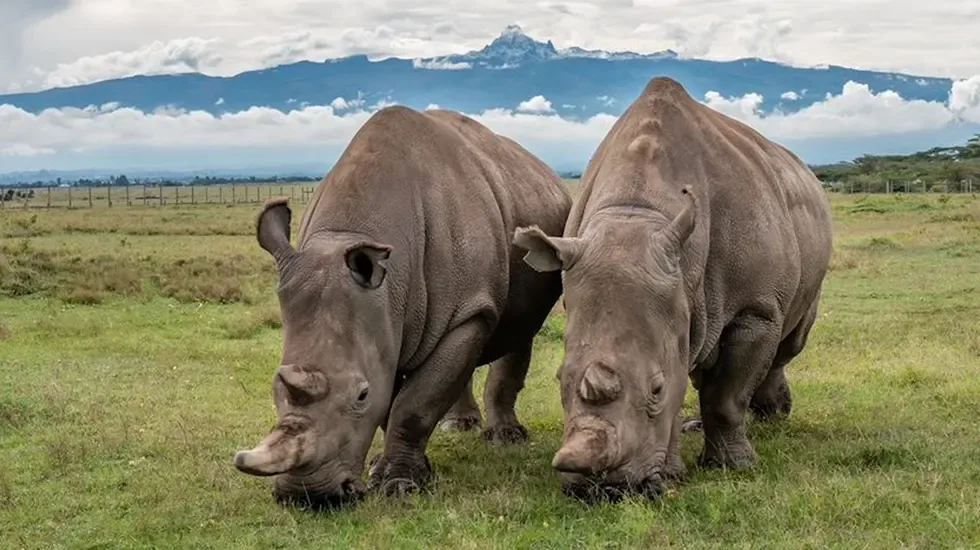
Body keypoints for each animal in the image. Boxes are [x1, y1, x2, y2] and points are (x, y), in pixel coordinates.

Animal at [233, 105, 573, 509]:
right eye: (275, 386)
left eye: (360, 395)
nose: (308, 496)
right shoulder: (382, 318)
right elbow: (395, 398)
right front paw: (388, 469)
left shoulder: (465, 310)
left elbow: (414, 403)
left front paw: (400, 485)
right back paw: (458, 427)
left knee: (519, 331)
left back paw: (506, 439)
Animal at [514, 76, 833, 500]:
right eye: (559, 379)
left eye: (656, 389)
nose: (601, 489)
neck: (637, 212)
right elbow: (686, 376)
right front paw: (672, 474)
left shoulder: (755, 309)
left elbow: (726, 396)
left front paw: (734, 466)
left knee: (788, 343)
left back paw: (772, 417)